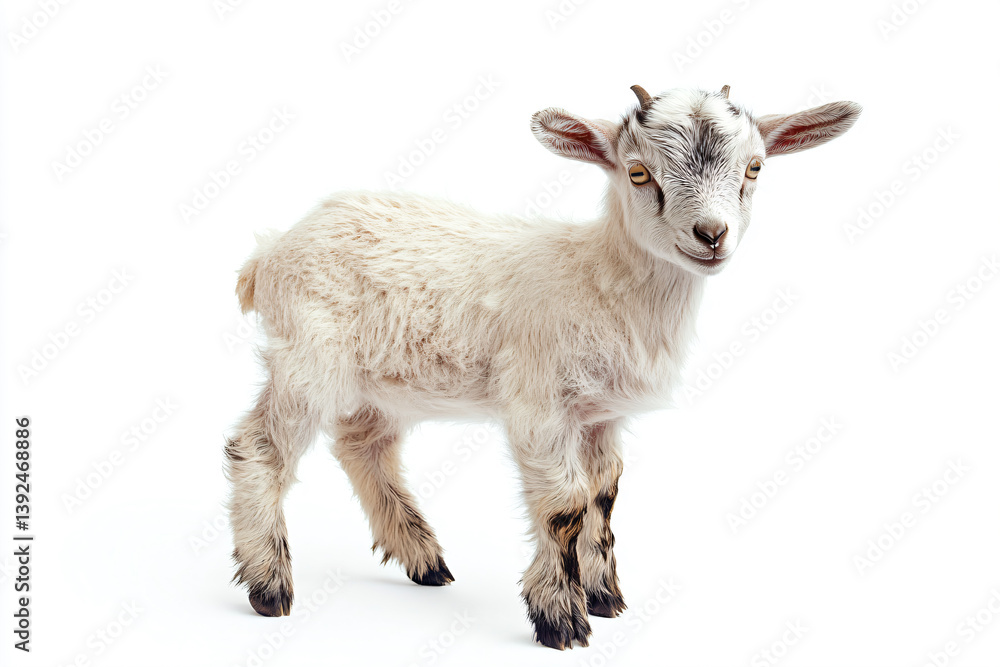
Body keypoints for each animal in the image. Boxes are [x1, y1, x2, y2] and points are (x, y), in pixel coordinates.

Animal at [225, 84, 861, 649]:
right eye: (638, 173)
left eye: (754, 168)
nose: (711, 235)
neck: (601, 277)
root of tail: (271, 251)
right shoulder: (540, 403)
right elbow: (566, 507)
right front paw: (560, 617)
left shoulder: (600, 414)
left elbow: (604, 496)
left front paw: (604, 597)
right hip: (309, 355)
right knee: (258, 446)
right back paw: (268, 583)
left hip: (386, 380)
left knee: (364, 446)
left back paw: (423, 558)